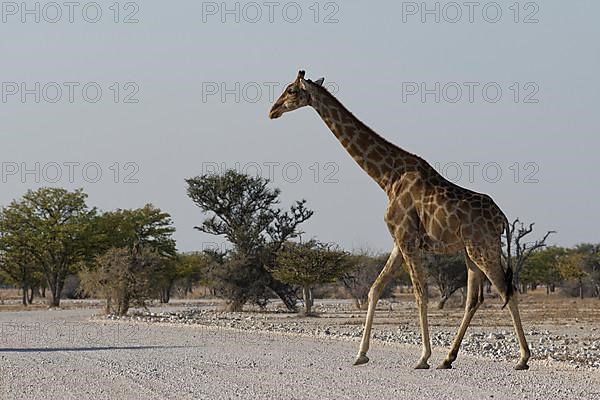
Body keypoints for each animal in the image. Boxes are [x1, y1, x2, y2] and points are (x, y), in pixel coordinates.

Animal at [270, 70, 532, 370]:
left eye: (291, 90)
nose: (272, 111)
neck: (387, 178)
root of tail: (503, 218)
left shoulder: (407, 239)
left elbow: (420, 294)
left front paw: (423, 357)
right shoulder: (398, 241)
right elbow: (374, 289)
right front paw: (361, 354)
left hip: (483, 248)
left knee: (507, 290)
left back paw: (522, 358)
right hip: (470, 252)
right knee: (474, 299)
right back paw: (448, 358)